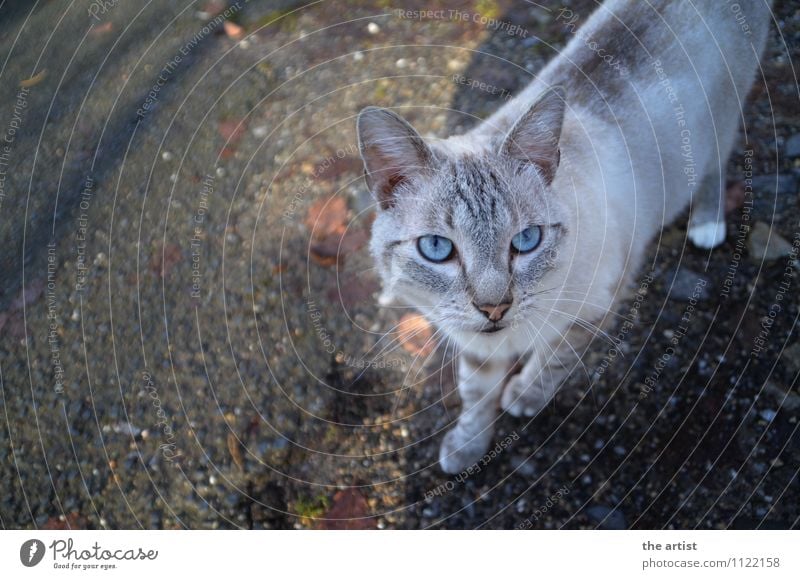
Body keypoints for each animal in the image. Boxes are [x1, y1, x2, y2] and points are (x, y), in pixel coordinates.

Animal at [354, 0, 768, 474]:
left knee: (719, 161)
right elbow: (475, 395)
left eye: (527, 241)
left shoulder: (594, 309)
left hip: (718, 127)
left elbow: (550, 362)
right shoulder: (475, 343)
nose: (494, 308)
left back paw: (706, 225)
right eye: (437, 249)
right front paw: (466, 449)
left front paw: (523, 398)